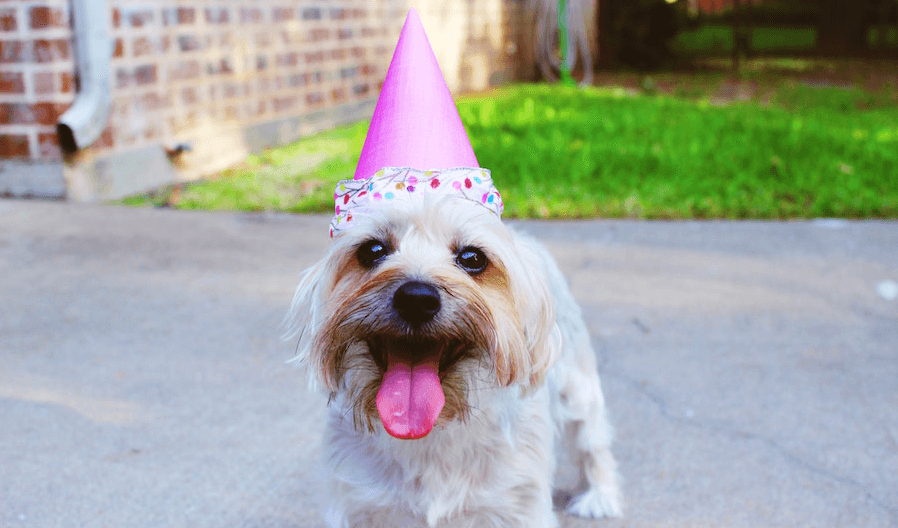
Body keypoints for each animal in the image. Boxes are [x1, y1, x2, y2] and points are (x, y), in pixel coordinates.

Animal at [284, 191, 620, 528]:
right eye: (373, 250)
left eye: (472, 258)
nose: (416, 299)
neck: (430, 432)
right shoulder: (358, 504)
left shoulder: (517, 506)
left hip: (578, 389)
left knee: (592, 441)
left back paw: (600, 495)